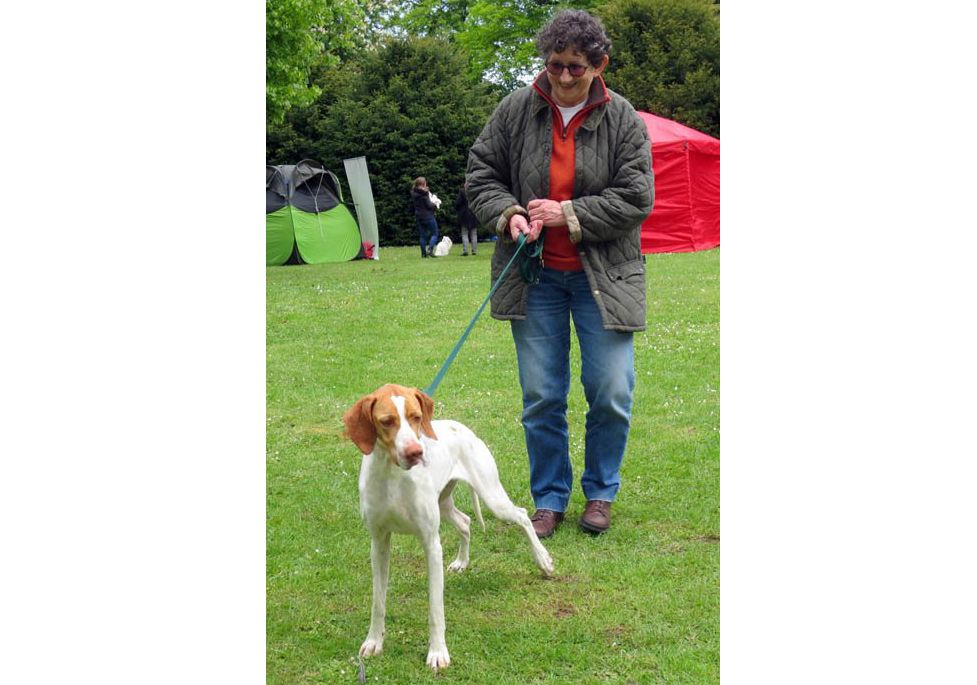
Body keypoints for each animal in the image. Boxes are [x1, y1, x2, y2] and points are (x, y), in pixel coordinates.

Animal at [342, 382, 556, 672]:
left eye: (416, 417)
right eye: (386, 421)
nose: (415, 452)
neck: (392, 475)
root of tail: (461, 427)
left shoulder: (431, 544)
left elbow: (435, 609)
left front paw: (437, 653)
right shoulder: (379, 542)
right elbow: (378, 602)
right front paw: (374, 641)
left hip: (492, 498)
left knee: (522, 516)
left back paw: (543, 560)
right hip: (443, 504)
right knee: (465, 522)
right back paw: (462, 561)